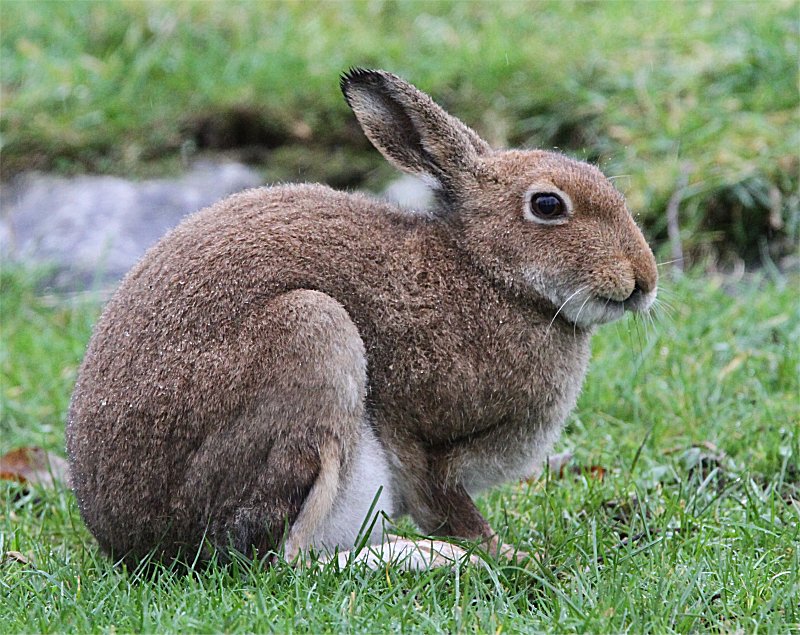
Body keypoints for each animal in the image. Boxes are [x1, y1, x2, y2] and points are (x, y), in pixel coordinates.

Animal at [66, 68, 658, 571]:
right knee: (277, 561)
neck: (489, 273)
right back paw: (429, 558)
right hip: (311, 335)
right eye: (548, 205)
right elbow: (453, 509)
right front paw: (511, 557)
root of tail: (131, 540)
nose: (643, 280)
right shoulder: (429, 449)